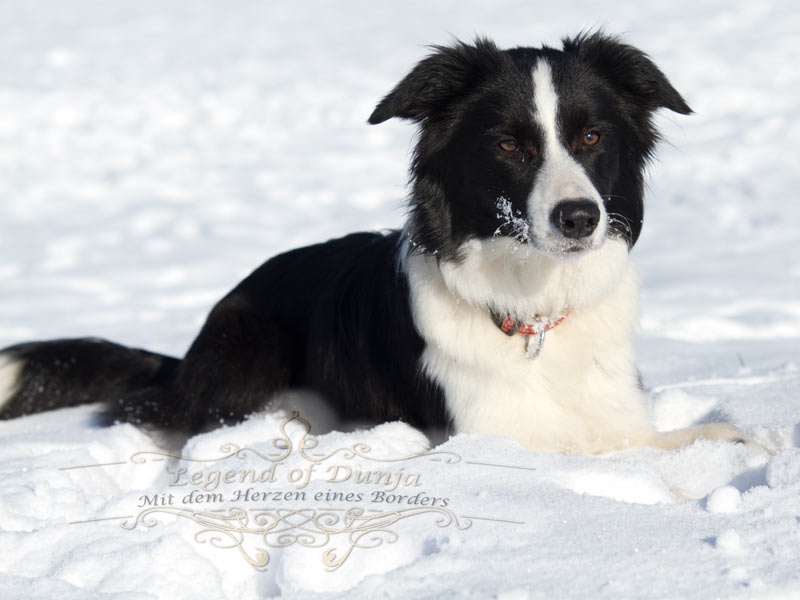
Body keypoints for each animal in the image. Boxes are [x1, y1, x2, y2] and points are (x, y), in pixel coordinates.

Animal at [0, 32, 752, 452]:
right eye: (509, 145)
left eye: (592, 136)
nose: (579, 218)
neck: (533, 312)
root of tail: (184, 360)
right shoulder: (492, 436)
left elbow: (657, 439)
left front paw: (733, 440)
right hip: (252, 343)